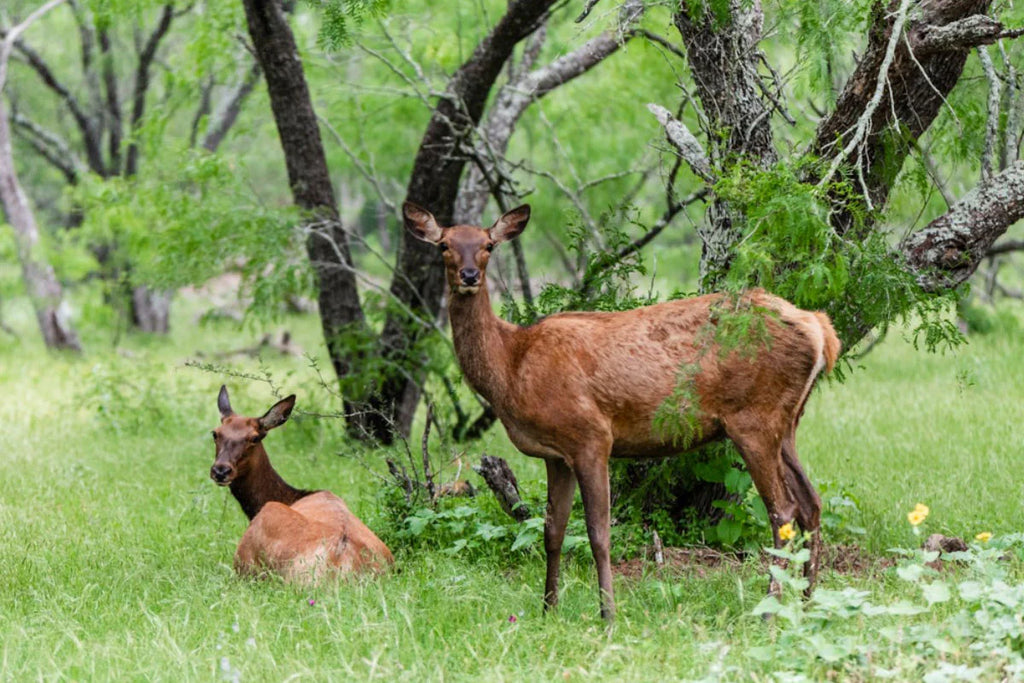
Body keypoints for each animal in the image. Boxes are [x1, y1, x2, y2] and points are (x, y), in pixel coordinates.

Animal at [401, 201, 839, 618]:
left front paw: (607, 613)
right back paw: (807, 603)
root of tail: (820, 328)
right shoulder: (555, 454)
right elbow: (552, 531)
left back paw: (769, 610)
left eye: (488, 245)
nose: (469, 275)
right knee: (811, 502)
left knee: (783, 510)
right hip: (786, 421)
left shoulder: (591, 435)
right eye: (444, 245)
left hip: (754, 418)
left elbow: (598, 532)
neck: (512, 366)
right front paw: (548, 609)